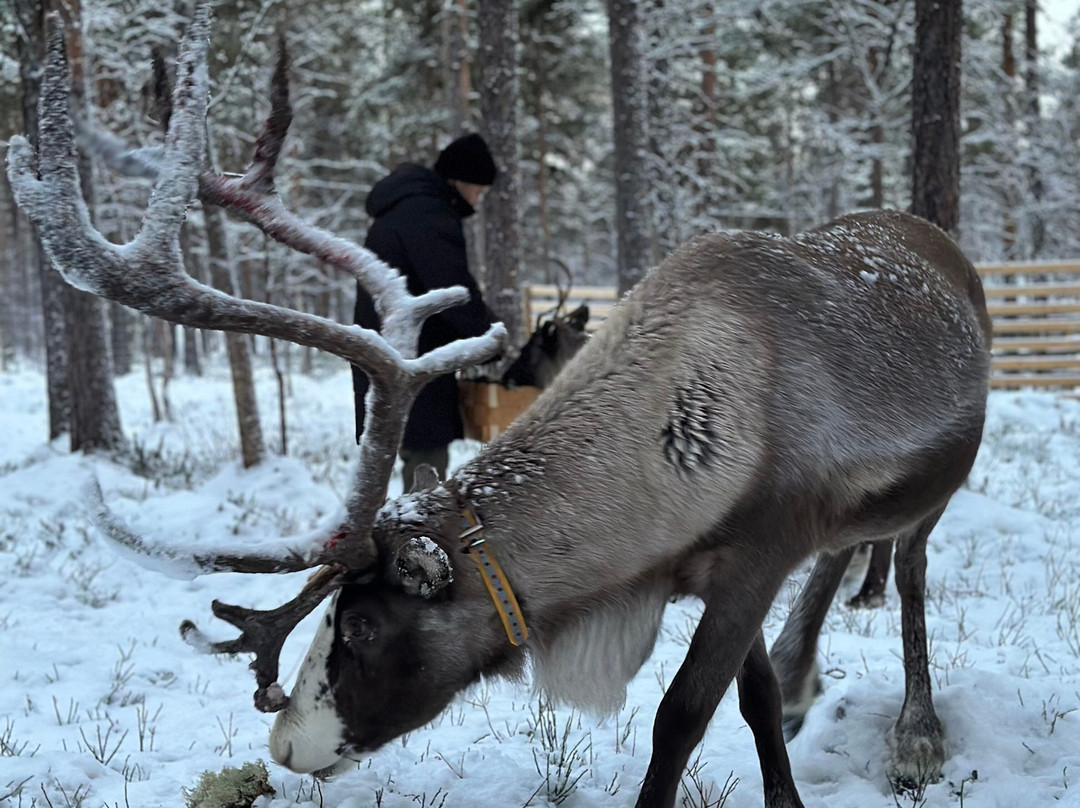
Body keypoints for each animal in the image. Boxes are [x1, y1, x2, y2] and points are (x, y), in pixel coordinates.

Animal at [7, 11, 991, 808]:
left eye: (361, 626)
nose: (285, 747)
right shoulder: (711, 571)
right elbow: (748, 702)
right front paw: (781, 728)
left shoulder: (755, 556)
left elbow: (680, 716)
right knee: (846, 558)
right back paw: (807, 671)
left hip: (941, 485)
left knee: (909, 568)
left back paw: (915, 729)